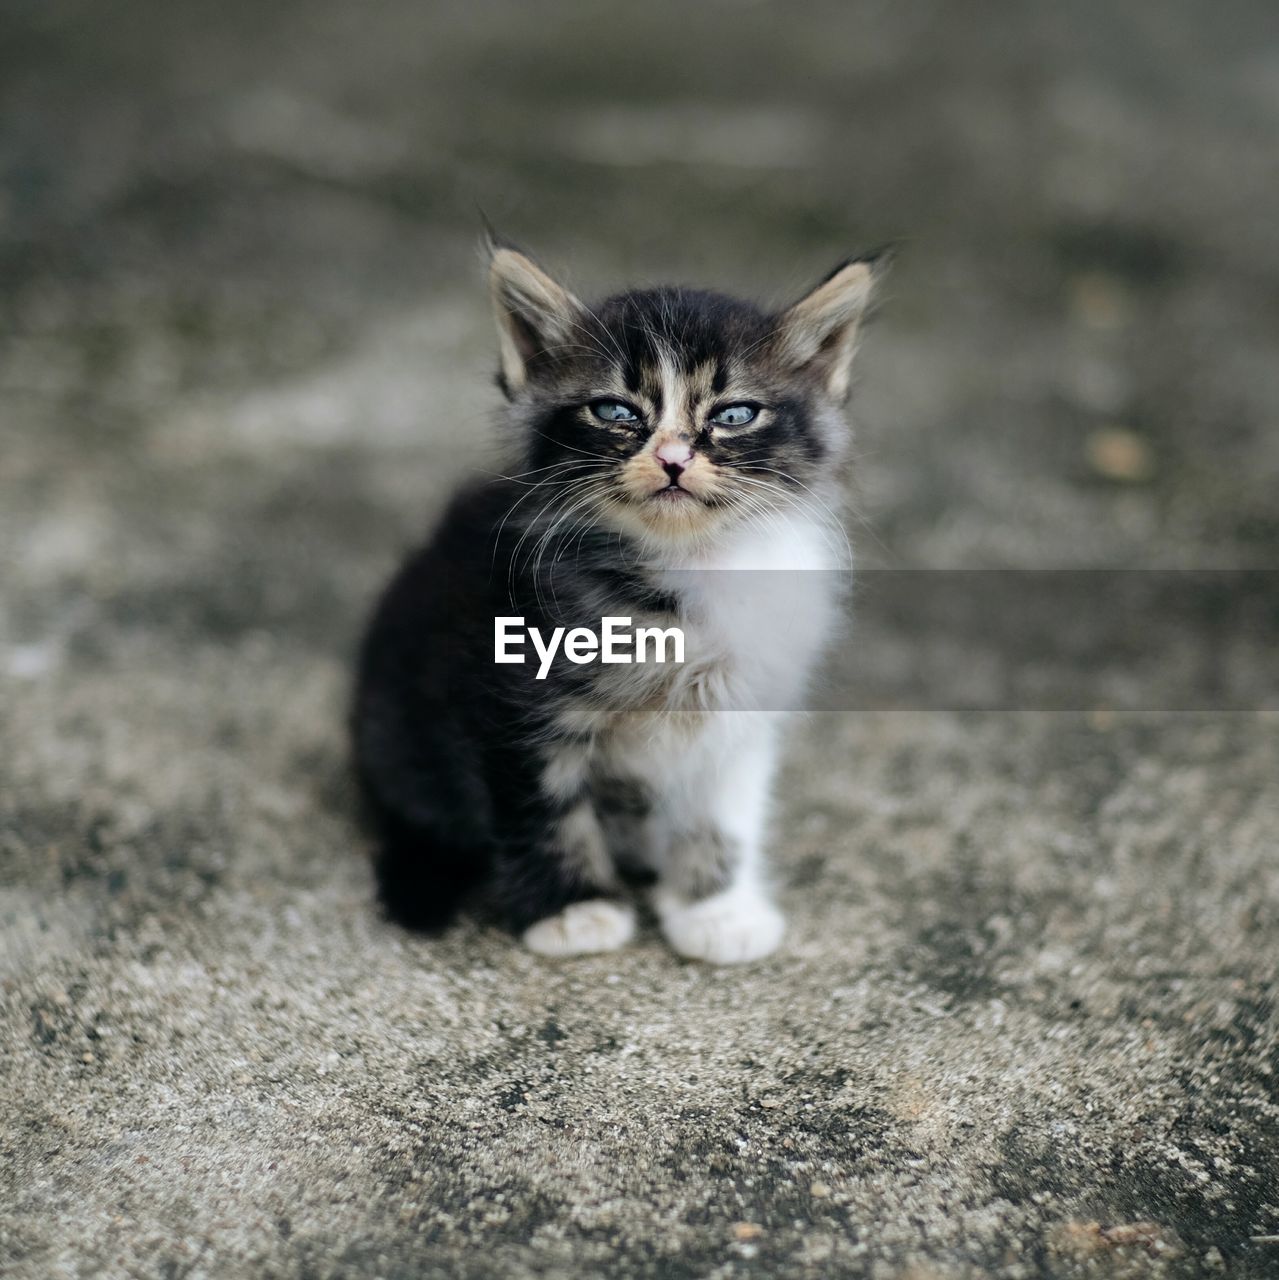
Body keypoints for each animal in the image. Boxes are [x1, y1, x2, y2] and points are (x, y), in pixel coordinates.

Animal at [350, 238, 891, 962]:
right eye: (614, 411)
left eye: (733, 414)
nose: (672, 459)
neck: (684, 571)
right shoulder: (514, 699)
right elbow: (546, 810)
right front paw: (573, 910)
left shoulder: (740, 705)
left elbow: (721, 814)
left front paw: (716, 909)